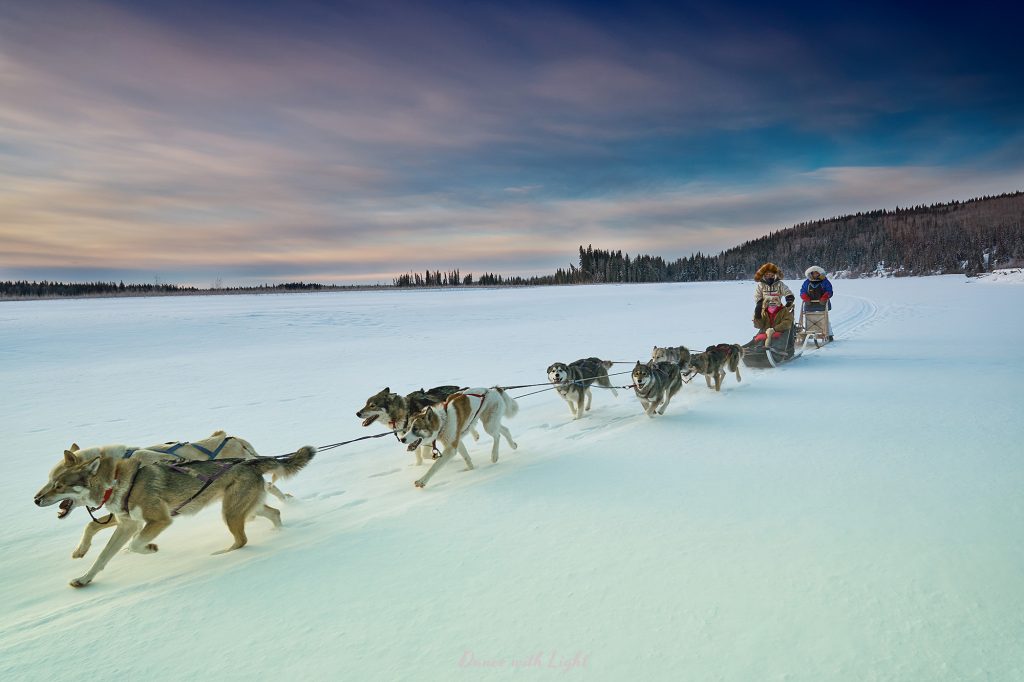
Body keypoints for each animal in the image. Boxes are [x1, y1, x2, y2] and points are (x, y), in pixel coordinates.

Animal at [34, 440, 313, 585]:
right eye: (51, 481)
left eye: (58, 484)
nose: (36, 499)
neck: (114, 480)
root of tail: (250, 461)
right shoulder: (127, 524)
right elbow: (102, 556)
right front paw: (84, 578)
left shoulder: (158, 520)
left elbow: (135, 544)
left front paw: (150, 548)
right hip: (240, 508)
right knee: (274, 513)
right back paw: (281, 532)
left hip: (230, 514)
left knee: (242, 539)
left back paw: (223, 555)